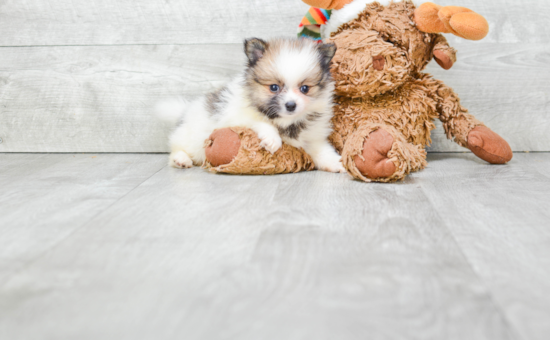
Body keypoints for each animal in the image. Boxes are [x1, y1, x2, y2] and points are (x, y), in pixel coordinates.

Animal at [157, 37, 344, 173]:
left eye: (305, 88)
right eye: (274, 87)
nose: (291, 105)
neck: (285, 122)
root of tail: (184, 112)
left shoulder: (312, 138)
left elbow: (323, 151)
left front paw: (337, 163)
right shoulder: (236, 117)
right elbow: (260, 122)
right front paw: (272, 139)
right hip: (189, 138)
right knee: (176, 149)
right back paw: (181, 160)